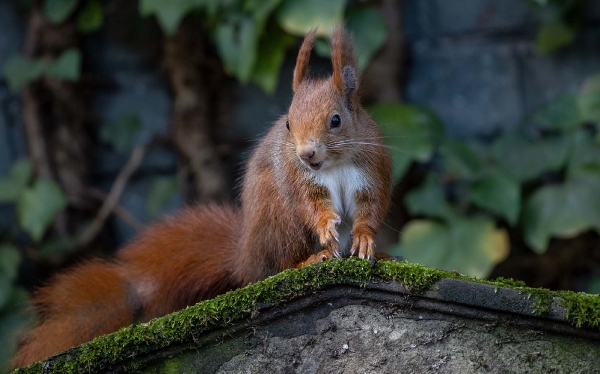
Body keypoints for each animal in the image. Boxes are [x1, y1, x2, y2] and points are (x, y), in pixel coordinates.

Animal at [11, 26, 394, 368]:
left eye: (336, 120)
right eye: (287, 123)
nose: (305, 154)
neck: (334, 164)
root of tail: (244, 255)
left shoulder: (370, 172)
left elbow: (370, 210)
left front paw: (364, 240)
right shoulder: (300, 181)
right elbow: (313, 206)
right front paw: (327, 225)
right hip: (278, 223)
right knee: (272, 268)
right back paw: (311, 258)